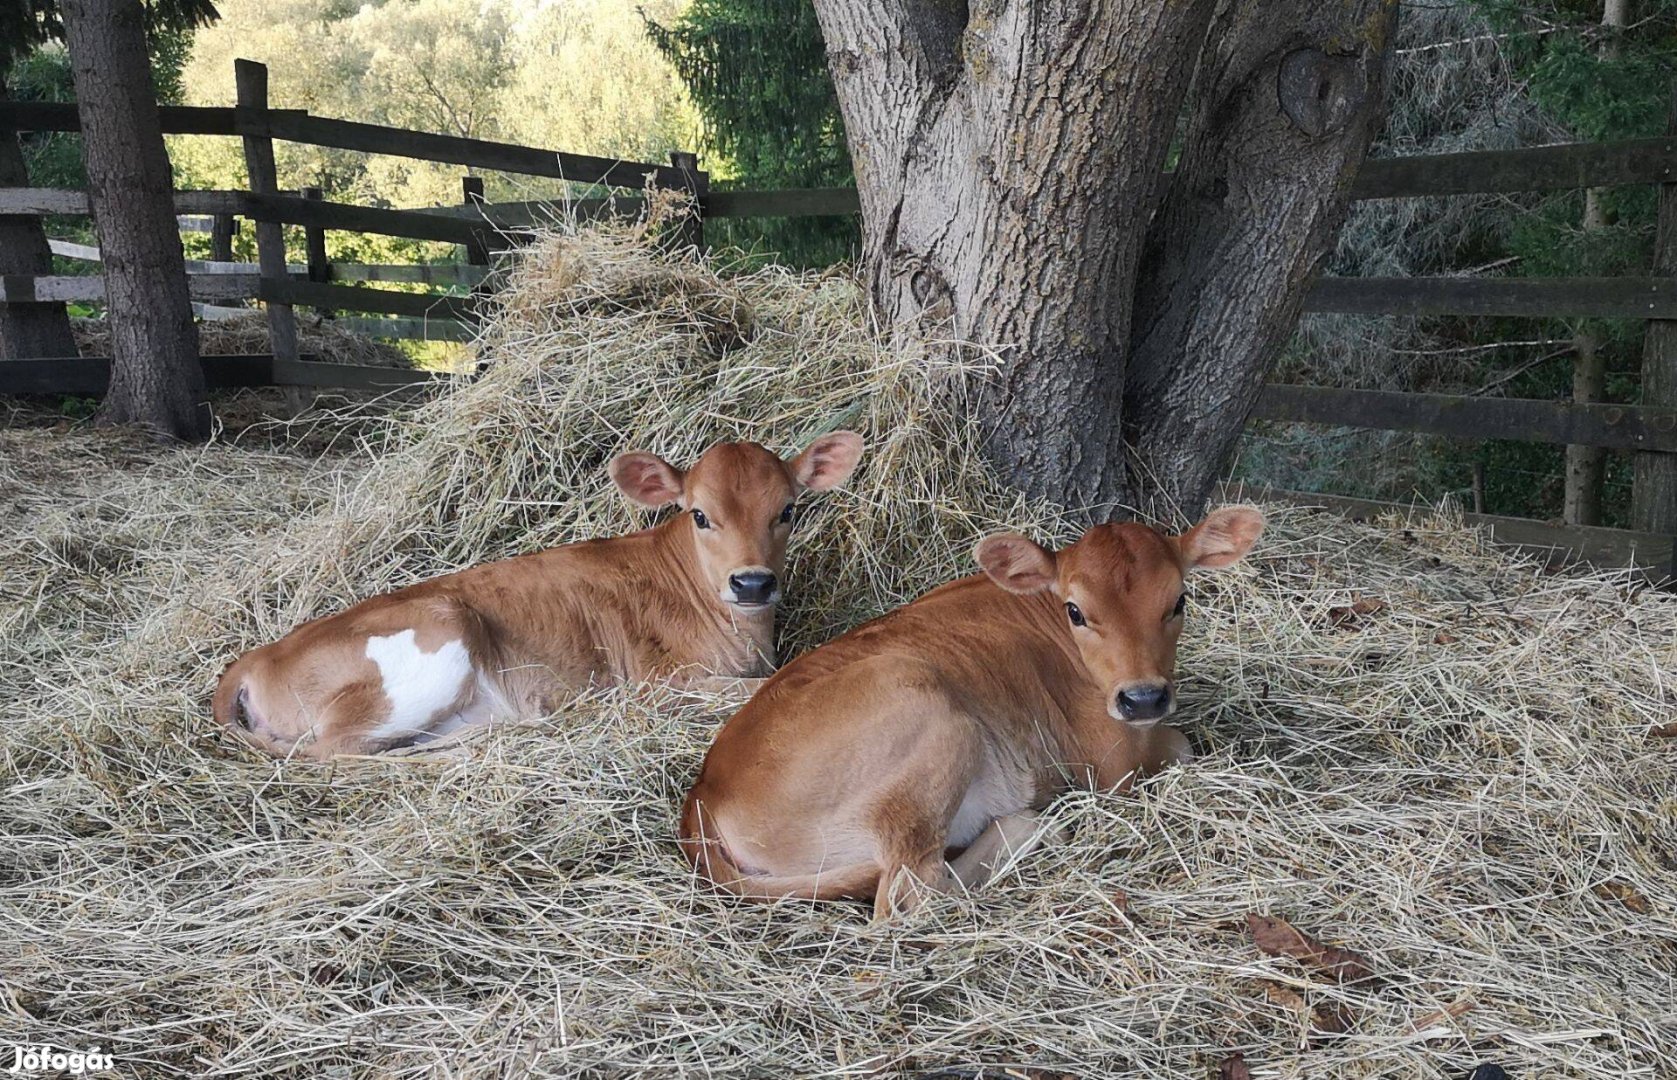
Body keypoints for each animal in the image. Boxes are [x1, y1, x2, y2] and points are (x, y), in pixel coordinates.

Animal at [212, 432, 865, 758]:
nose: (752, 581)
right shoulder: (662, 684)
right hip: (437, 635)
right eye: (699, 514)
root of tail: (258, 655)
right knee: (334, 751)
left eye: (788, 509)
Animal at [677, 506, 1261, 919]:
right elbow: (1182, 746)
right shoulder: (1112, 764)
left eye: (1179, 601)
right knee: (909, 896)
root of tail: (706, 794)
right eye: (1076, 611)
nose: (1143, 698)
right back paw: (1031, 828)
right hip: (935, 718)